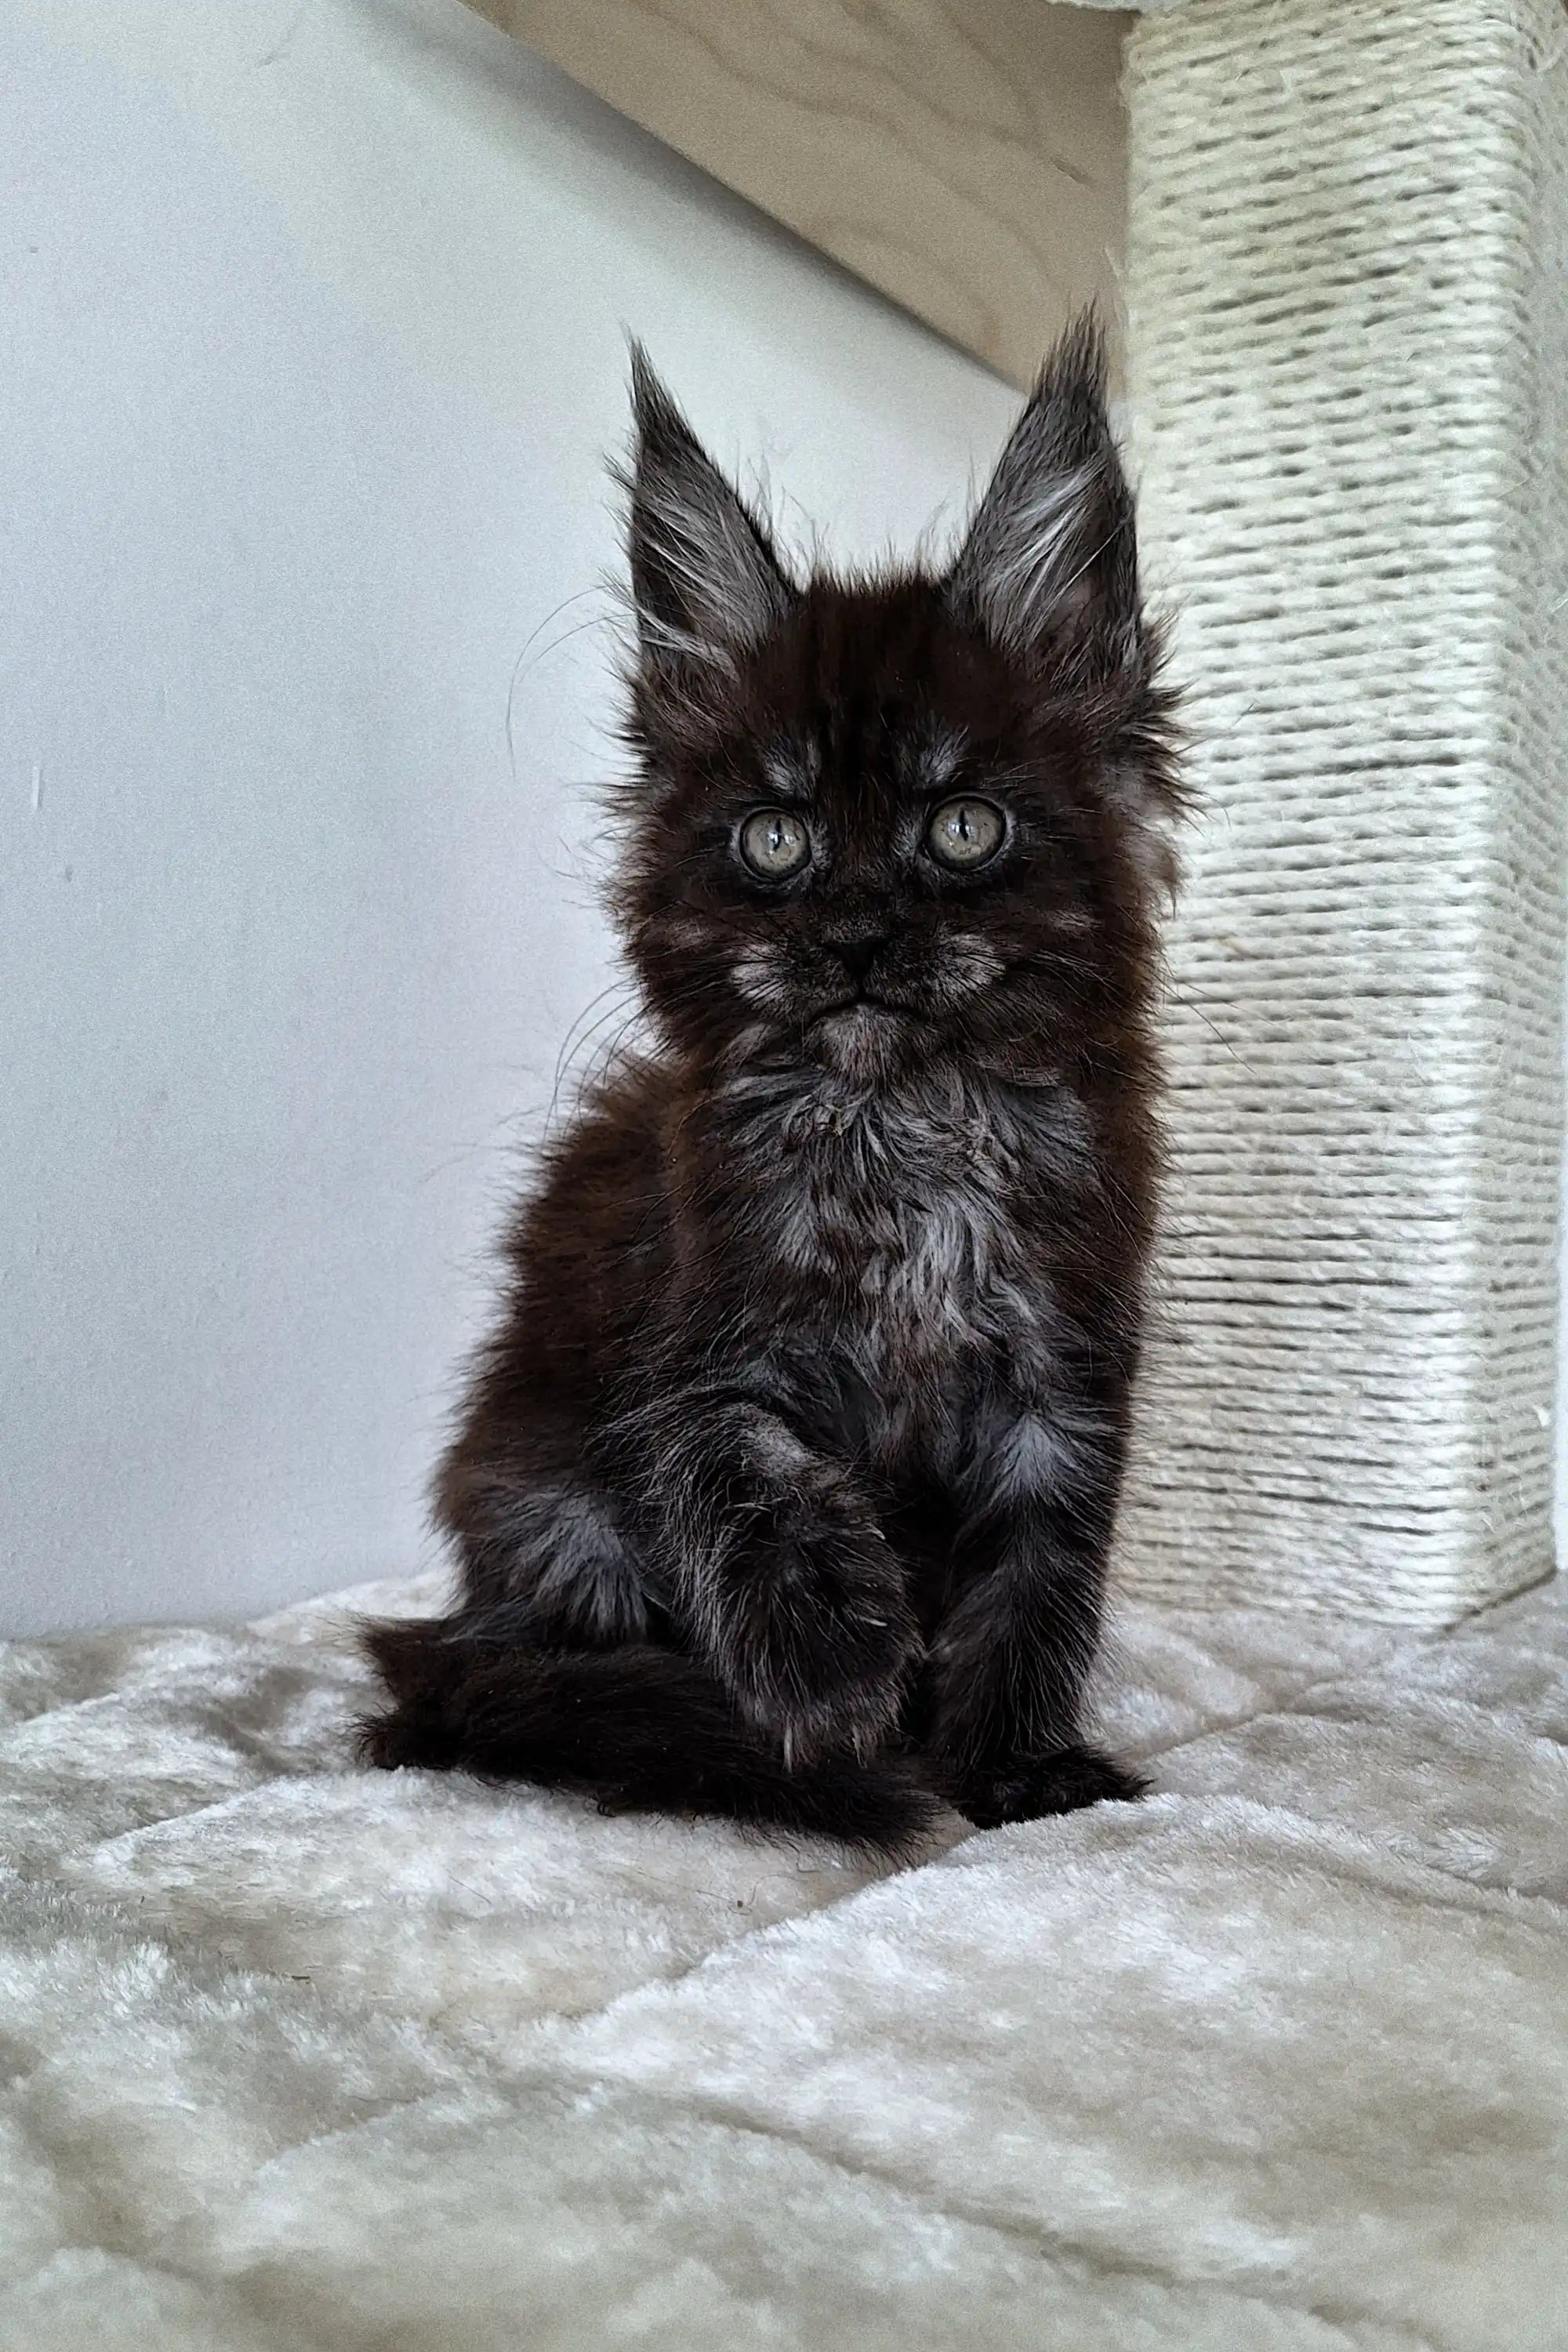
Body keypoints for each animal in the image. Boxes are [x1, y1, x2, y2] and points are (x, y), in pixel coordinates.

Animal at [359, 318, 1175, 1853]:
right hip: (550, 1504)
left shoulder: (1066, 1375)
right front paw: (832, 1663)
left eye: (961, 826)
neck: (907, 1128)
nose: (853, 937)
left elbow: (1041, 1581)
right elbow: (739, 1462)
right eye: (777, 839)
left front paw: (1019, 1772)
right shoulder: (690, 1324)